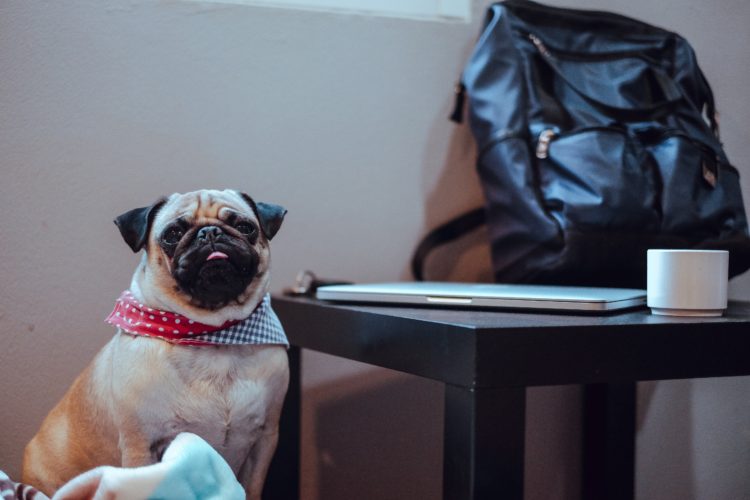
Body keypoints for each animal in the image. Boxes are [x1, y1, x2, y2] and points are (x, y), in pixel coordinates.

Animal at [22, 189, 292, 498]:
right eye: (173, 234)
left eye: (246, 227)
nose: (210, 232)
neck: (212, 333)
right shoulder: (141, 446)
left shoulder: (265, 438)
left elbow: (253, 486)